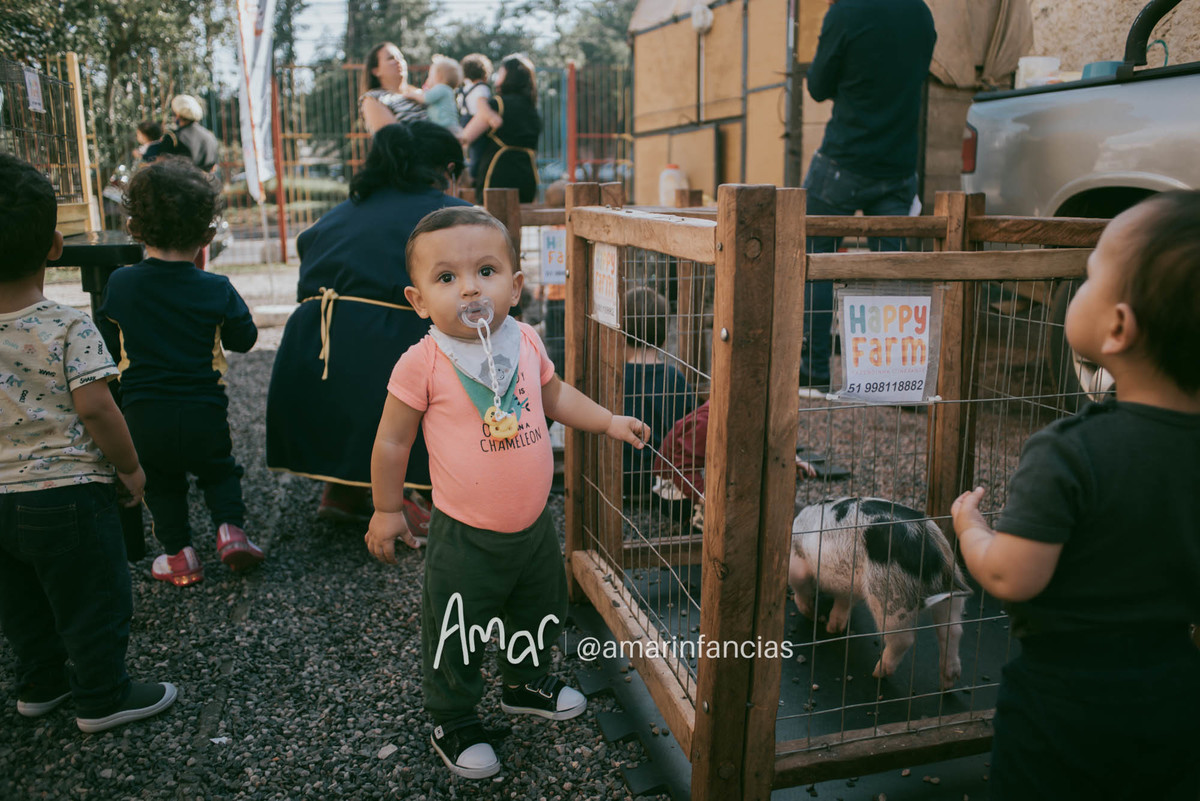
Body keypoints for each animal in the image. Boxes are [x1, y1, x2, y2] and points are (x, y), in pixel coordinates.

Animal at [789, 497, 972, 690]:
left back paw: (878, 672)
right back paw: (948, 683)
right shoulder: (847, 586)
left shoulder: (797, 564)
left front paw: (813, 616)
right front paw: (833, 628)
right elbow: (843, 603)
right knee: (952, 630)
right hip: (951, 594)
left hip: (891, 596)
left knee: (903, 639)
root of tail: (935, 554)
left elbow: (800, 586)